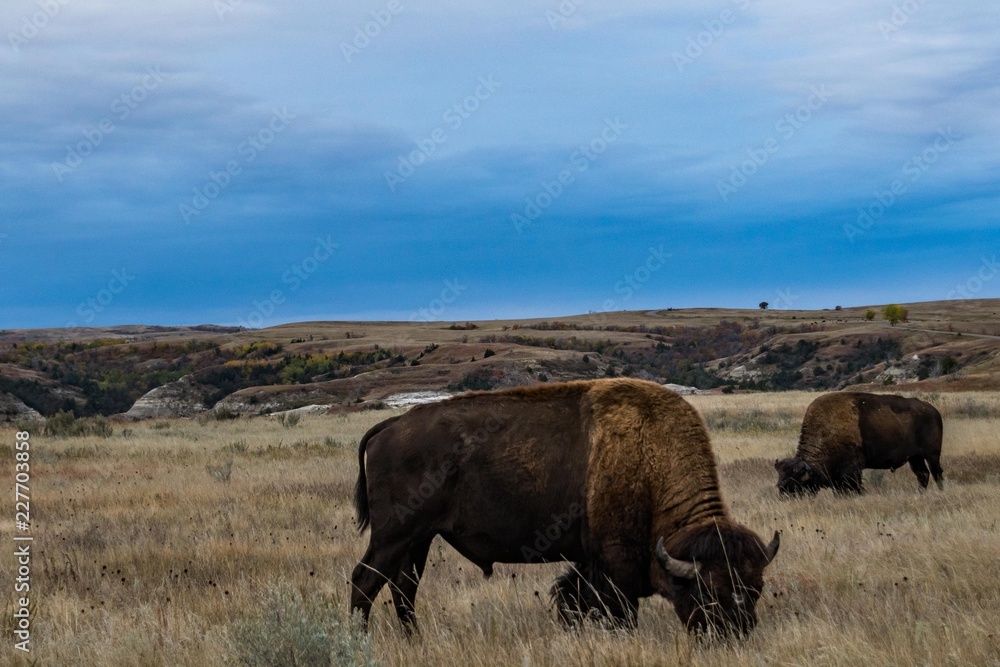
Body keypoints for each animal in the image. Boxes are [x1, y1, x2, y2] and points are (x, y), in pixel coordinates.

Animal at [352, 380, 780, 636]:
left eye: (756, 588)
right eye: (709, 592)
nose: (735, 636)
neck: (650, 457)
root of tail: (391, 425)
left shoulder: (589, 563)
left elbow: (573, 598)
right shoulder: (615, 564)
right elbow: (619, 612)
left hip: (419, 540)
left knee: (403, 588)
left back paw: (414, 639)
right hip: (394, 535)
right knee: (365, 581)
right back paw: (361, 640)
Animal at [772, 392, 944, 496]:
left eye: (796, 486)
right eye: (780, 486)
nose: (786, 499)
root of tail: (933, 410)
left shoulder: (851, 470)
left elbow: (853, 487)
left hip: (932, 455)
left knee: (936, 473)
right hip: (914, 457)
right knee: (922, 474)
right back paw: (920, 493)